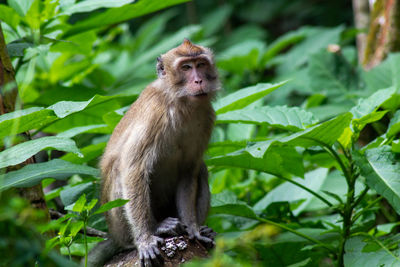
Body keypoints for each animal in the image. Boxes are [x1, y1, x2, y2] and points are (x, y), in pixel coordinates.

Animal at [90, 39, 220, 267]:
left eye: (201, 64)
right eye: (186, 67)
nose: (199, 80)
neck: (181, 103)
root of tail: (113, 236)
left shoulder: (207, 117)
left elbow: (189, 170)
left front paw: (193, 228)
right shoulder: (154, 114)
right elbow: (133, 169)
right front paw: (145, 239)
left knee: (201, 169)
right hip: (119, 226)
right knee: (119, 169)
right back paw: (156, 229)